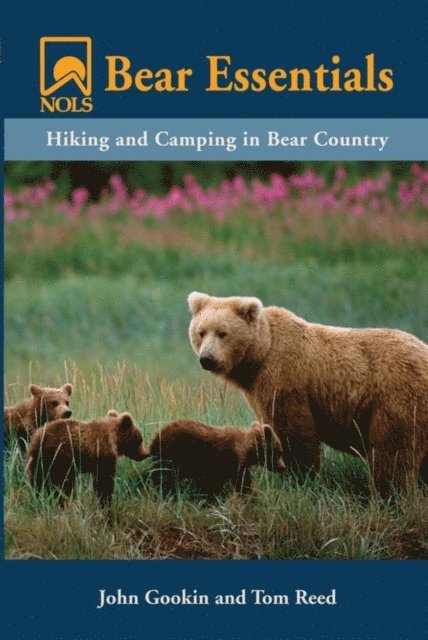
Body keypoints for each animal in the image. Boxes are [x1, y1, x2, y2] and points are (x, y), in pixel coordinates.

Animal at [149, 419, 286, 498]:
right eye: (279, 451)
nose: (283, 467)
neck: (246, 450)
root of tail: (155, 437)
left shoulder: (239, 467)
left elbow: (244, 483)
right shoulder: (227, 460)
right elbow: (216, 485)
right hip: (172, 453)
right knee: (163, 476)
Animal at [188, 292, 428, 497]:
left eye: (222, 333)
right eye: (201, 332)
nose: (207, 358)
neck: (259, 357)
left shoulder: (286, 378)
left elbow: (294, 433)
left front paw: (298, 476)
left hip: (395, 398)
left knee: (392, 453)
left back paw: (389, 495)